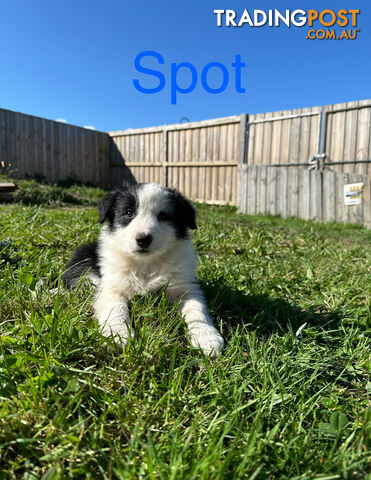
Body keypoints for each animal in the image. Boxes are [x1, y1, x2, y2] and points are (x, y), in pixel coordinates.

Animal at [62, 184, 224, 356]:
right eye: (128, 213)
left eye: (163, 216)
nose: (143, 239)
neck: (146, 263)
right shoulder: (111, 287)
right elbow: (116, 308)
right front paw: (118, 334)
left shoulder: (185, 287)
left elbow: (197, 310)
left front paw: (207, 337)